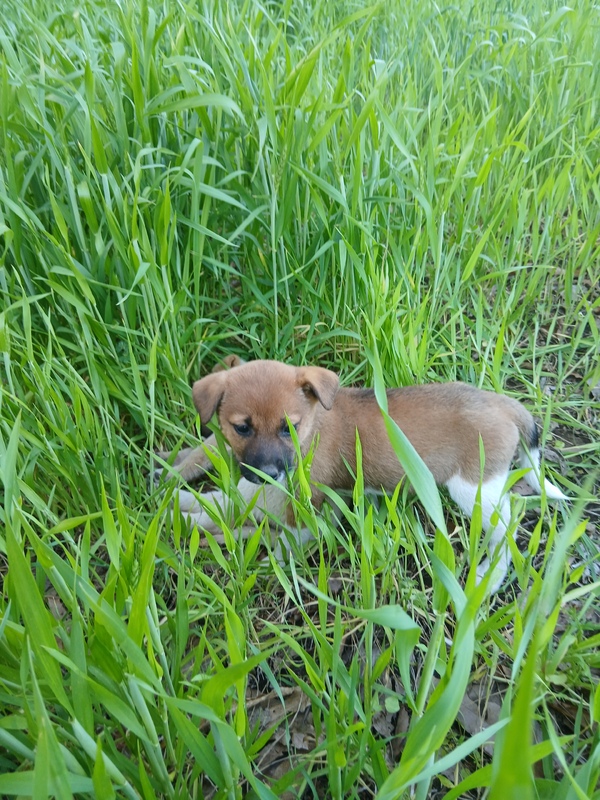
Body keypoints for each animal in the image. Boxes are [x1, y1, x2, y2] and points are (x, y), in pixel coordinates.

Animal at [158, 358, 567, 592]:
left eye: (289, 427)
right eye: (242, 428)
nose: (269, 473)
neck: (314, 429)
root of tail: (503, 403)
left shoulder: (305, 517)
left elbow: (251, 524)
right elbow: (217, 485)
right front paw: (176, 485)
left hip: (471, 489)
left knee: (509, 526)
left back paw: (488, 575)